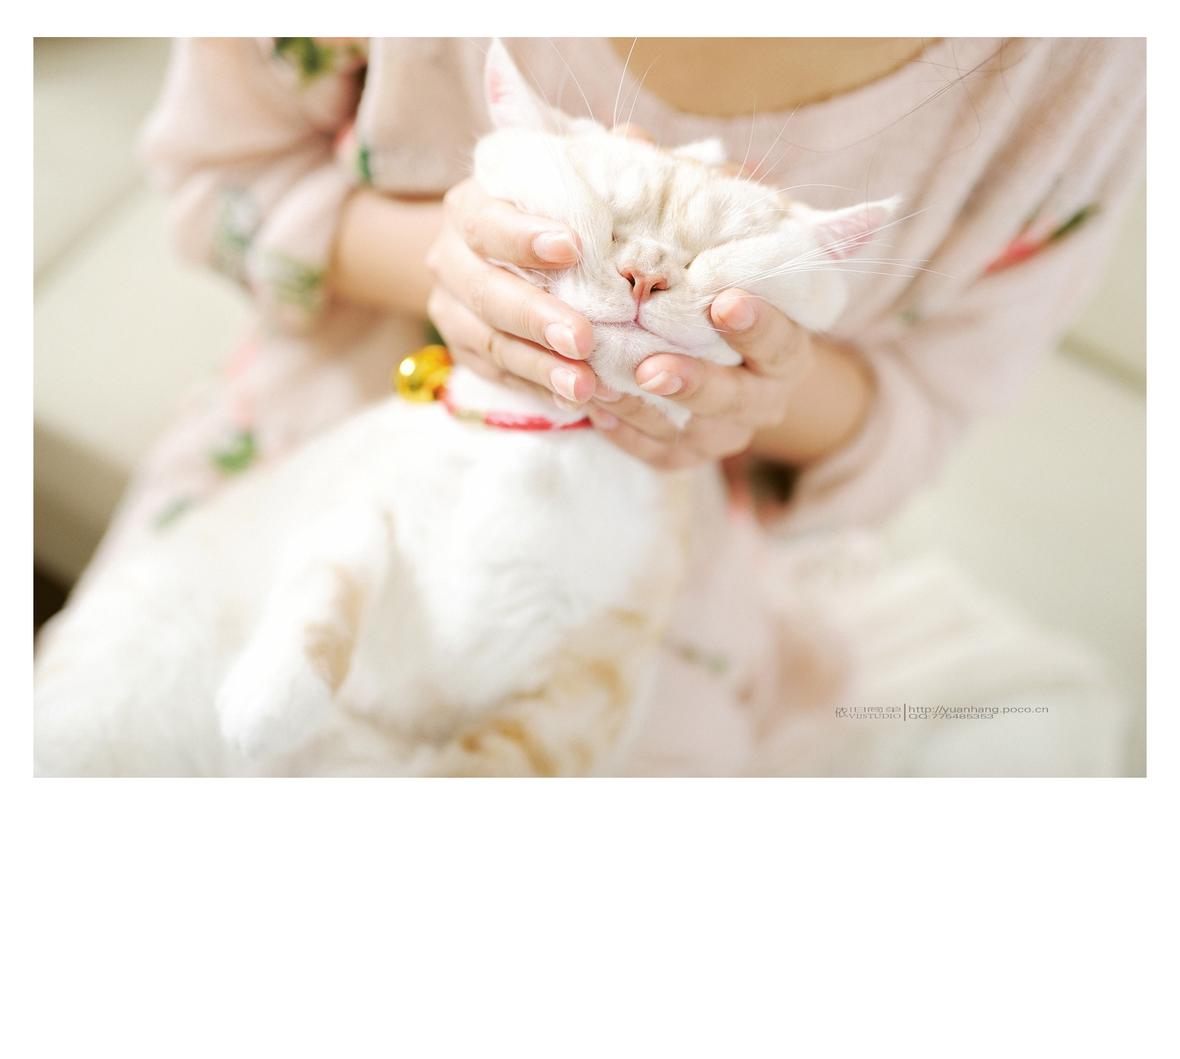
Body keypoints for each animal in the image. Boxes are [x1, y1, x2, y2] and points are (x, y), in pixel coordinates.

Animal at [33, 40, 897, 776]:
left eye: (714, 253)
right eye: (604, 210)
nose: (646, 272)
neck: (542, 450)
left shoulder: (583, 693)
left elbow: (472, 767)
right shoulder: (358, 493)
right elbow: (330, 564)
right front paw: (273, 694)